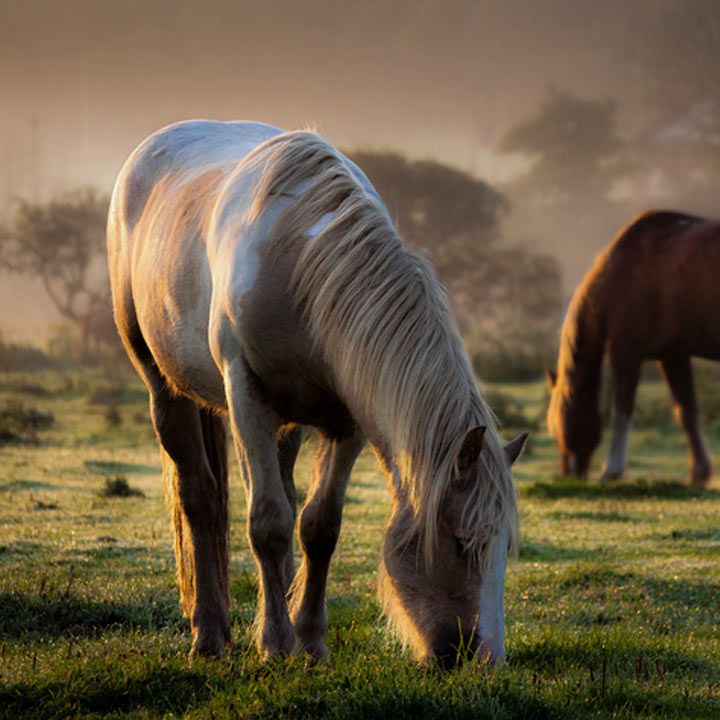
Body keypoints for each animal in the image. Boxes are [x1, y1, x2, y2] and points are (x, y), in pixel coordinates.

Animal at [107, 121, 524, 668]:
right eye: (460, 543)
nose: (487, 659)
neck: (300, 264)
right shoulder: (248, 400)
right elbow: (267, 522)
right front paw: (275, 644)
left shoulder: (346, 421)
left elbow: (318, 526)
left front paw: (309, 641)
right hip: (165, 387)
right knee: (200, 499)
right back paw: (210, 635)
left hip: (286, 425)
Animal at [548, 211, 716, 486]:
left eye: (554, 427)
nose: (568, 476)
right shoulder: (673, 356)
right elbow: (687, 413)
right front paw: (700, 473)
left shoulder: (625, 352)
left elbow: (621, 413)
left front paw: (611, 470)